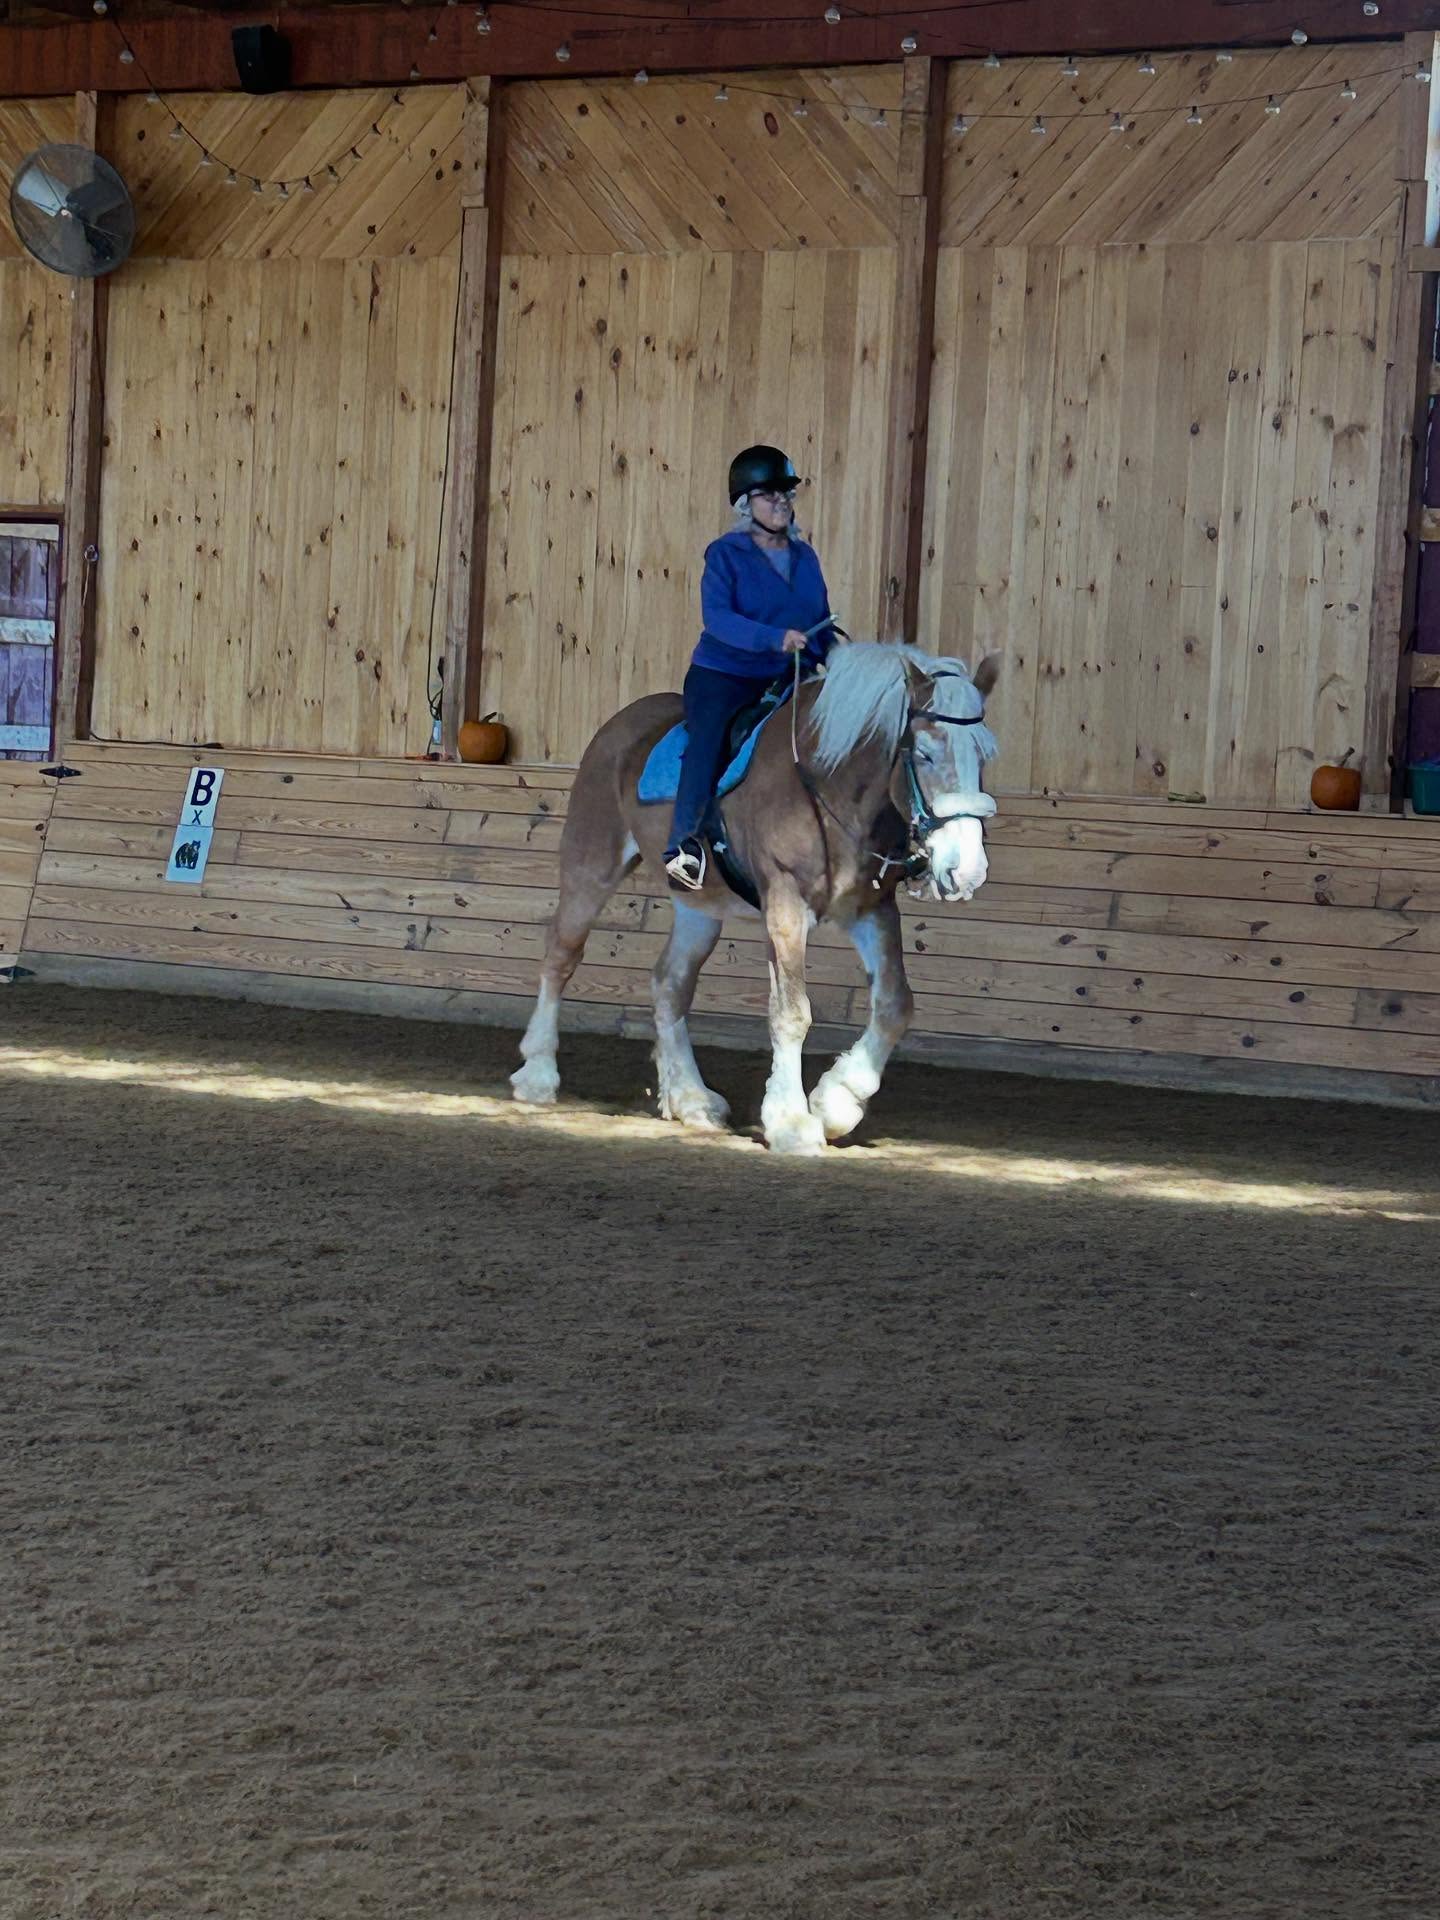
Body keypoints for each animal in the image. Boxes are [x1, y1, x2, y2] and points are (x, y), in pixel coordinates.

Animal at [510, 642, 1001, 1155]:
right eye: (924, 754)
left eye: (985, 755)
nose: (967, 870)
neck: (827, 786)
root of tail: (620, 724)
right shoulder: (785, 905)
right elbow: (791, 1012)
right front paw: (791, 1122)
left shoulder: (871, 910)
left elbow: (895, 1005)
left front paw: (836, 1102)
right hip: (591, 868)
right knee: (561, 956)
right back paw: (538, 1075)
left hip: (699, 908)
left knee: (669, 984)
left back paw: (691, 1100)